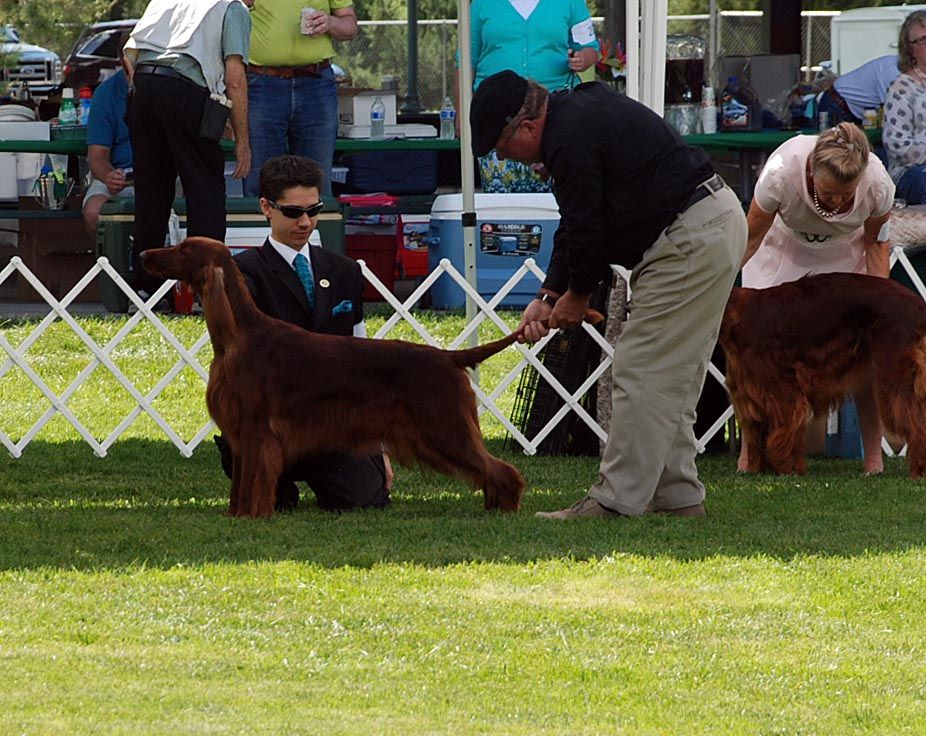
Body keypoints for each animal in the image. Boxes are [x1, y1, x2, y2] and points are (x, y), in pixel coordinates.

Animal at [142, 237, 526, 517]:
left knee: (500, 468)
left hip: (444, 428)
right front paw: (235, 515)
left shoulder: (256, 430)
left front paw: (252, 516)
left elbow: (253, 479)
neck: (237, 338)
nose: (144, 253)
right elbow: (239, 482)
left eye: (183, 249)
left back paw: (505, 506)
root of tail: (448, 356)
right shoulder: (238, 432)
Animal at [718, 272, 926, 477]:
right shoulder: (750, 395)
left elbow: (783, 432)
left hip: (893, 379)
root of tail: (917, 304)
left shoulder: (784, 392)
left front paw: (787, 468)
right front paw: (756, 468)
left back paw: (919, 469)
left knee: (917, 424)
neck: (738, 316)